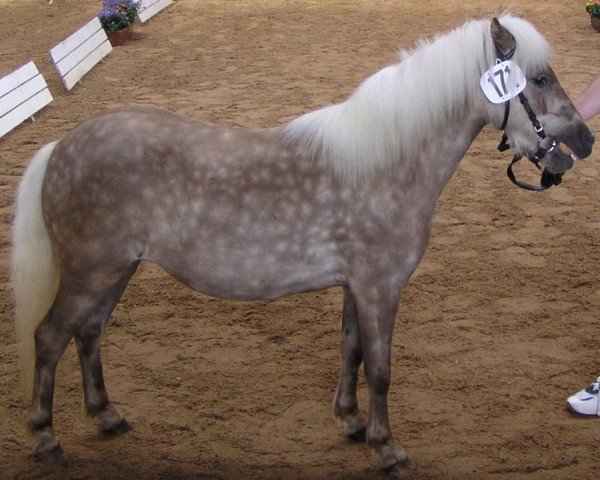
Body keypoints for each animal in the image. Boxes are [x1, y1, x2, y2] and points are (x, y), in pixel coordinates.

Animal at [11, 15, 592, 472]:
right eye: (539, 78)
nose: (584, 141)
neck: (384, 164)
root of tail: (60, 147)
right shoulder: (380, 287)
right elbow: (380, 368)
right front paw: (387, 448)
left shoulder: (356, 286)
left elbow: (351, 350)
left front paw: (352, 424)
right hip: (91, 272)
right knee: (49, 338)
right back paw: (47, 440)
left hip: (116, 271)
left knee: (88, 334)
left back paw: (107, 417)